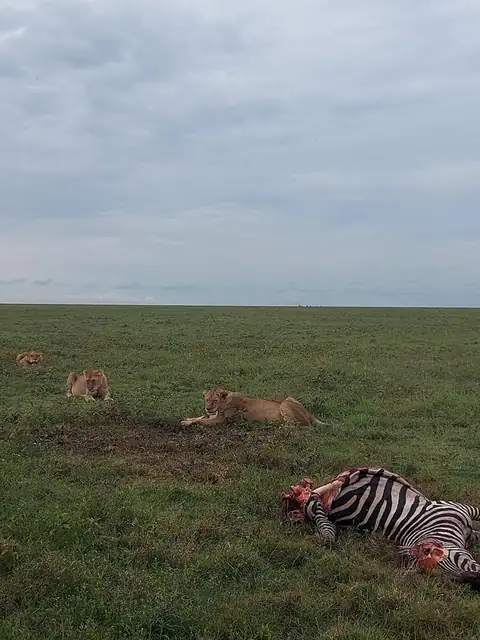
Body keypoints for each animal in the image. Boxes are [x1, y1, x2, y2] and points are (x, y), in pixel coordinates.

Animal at [181, 387, 325, 427]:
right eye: (206, 399)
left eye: (214, 400)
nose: (208, 408)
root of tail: (309, 413)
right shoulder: (212, 416)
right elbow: (200, 417)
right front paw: (186, 418)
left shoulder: (220, 421)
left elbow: (200, 421)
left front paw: (186, 423)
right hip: (289, 398)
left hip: (284, 404)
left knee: (300, 426)